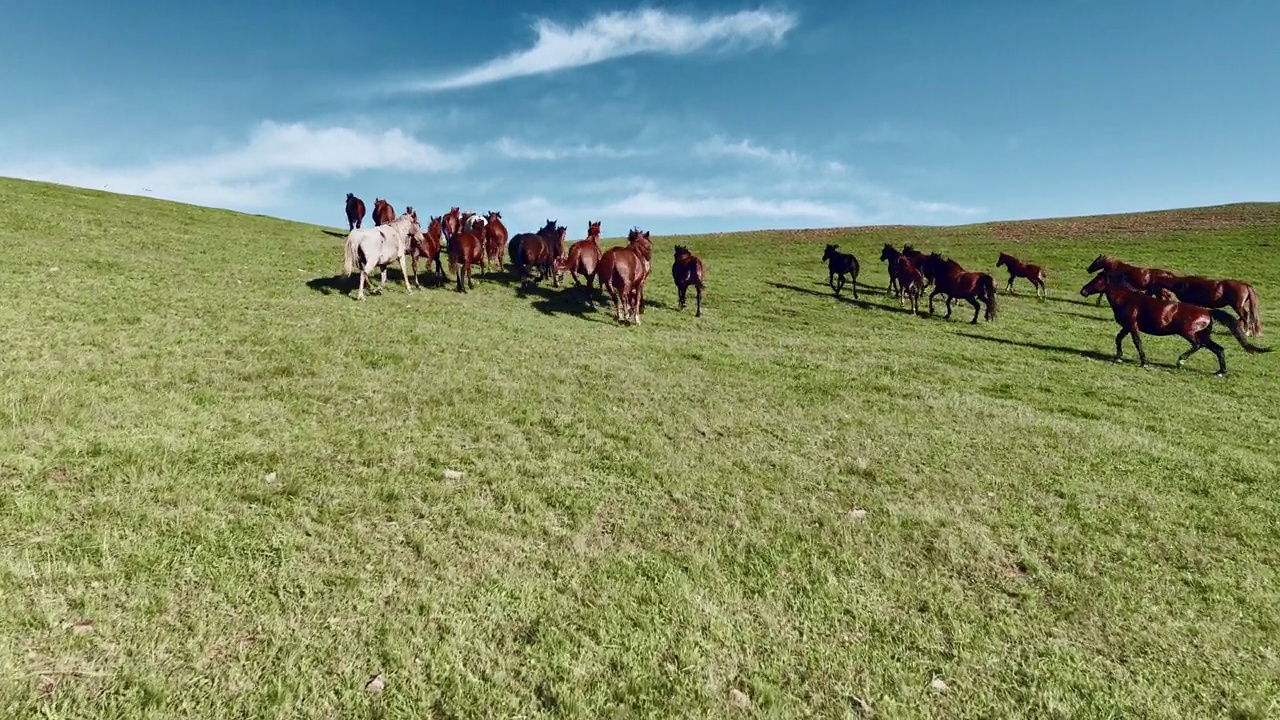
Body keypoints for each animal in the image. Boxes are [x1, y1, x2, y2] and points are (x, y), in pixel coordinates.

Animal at [1080, 269, 1269, 376]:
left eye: (1096, 280)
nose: (1083, 291)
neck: (1128, 299)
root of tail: (1207, 311)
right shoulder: (1127, 327)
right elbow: (1118, 339)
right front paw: (1118, 356)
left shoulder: (1132, 326)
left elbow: (1137, 342)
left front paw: (1143, 361)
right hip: (1204, 335)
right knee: (1219, 349)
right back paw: (1220, 372)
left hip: (1189, 333)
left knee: (1197, 345)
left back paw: (1181, 361)